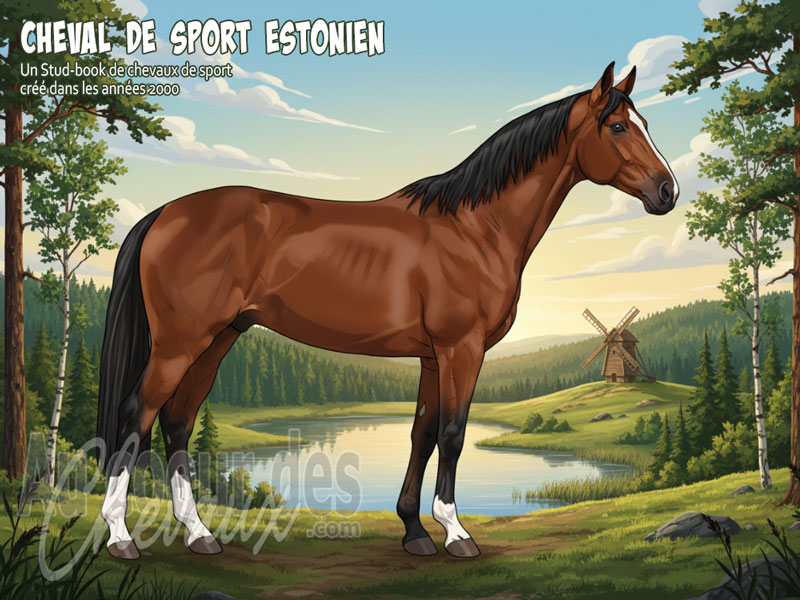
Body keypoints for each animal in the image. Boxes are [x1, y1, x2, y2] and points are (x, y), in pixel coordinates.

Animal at [97, 61, 678, 560]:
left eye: (647, 123)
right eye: (619, 126)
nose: (668, 191)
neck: (475, 228)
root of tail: (165, 212)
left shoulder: (432, 356)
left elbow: (423, 434)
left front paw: (414, 531)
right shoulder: (461, 348)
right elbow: (453, 434)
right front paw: (456, 533)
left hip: (218, 339)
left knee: (177, 421)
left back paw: (199, 534)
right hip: (181, 342)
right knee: (137, 415)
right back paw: (121, 537)